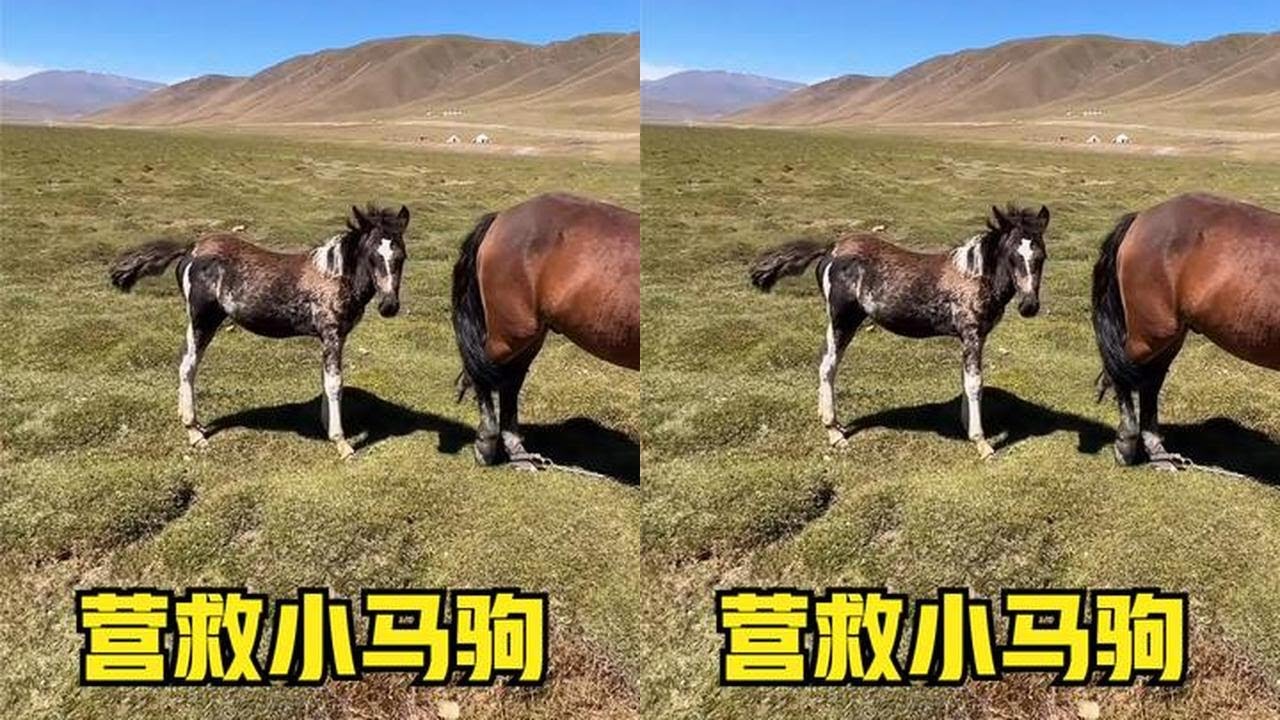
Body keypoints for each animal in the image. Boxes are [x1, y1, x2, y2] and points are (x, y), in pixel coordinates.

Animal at [109, 204, 410, 459]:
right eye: (372, 256)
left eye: (401, 256)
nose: (389, 306)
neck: (334, 275)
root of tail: (191, 249)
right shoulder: (333, 335)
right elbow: (335, 384)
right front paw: (342, 443)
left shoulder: (330, 339)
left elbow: (326, 381)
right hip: (202, 321)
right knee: (187, 366)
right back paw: (194, 432)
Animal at [452, 193, 639, 469]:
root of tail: (502, 218)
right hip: (512, 334)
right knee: (484, 371)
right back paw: (486, 442)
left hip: (531, 338)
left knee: (511, 381)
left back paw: (517, 453)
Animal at [750, 204, 1050, 458]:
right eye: (1012, 255)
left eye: (1041, 256)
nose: (1029, 306)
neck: (974, 275)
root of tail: (831, 249)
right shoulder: (973, 335)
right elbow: (975, 384)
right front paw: (982, 443)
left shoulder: (969, 339)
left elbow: (966, 381)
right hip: (842, 321)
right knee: (828, 366)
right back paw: (834, 432)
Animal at [1092, 192, 1280, 469]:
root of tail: (1142, 218)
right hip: (1152, 335)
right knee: (1124, 372)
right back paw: (1126, 442)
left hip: (1170, 339)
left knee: (1151, 381)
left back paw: (1157, 453)